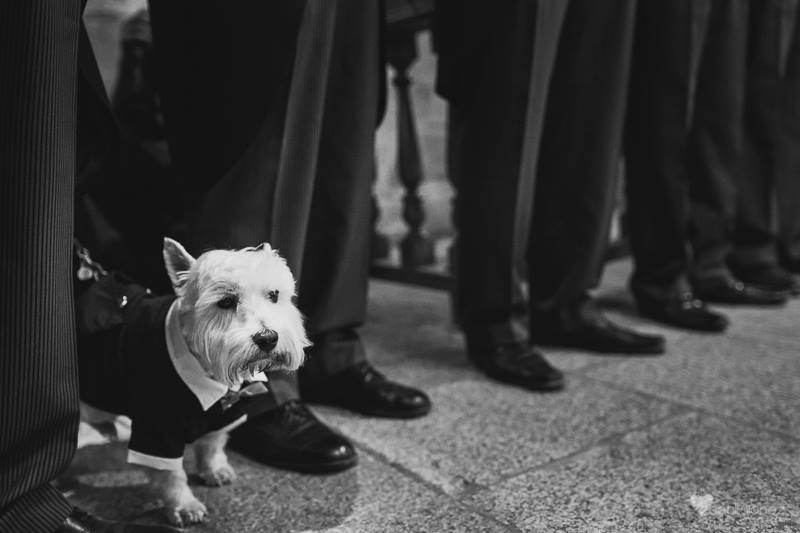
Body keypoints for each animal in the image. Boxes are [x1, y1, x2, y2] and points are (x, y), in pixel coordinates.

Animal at [79, 239, 310, 524]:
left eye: (274, 295)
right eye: (226, 301)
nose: (268, 338)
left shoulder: (222, 414)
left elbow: (212, 443)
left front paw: (214, 469)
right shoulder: (155, 430)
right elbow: (171, 475)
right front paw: (184, 506)